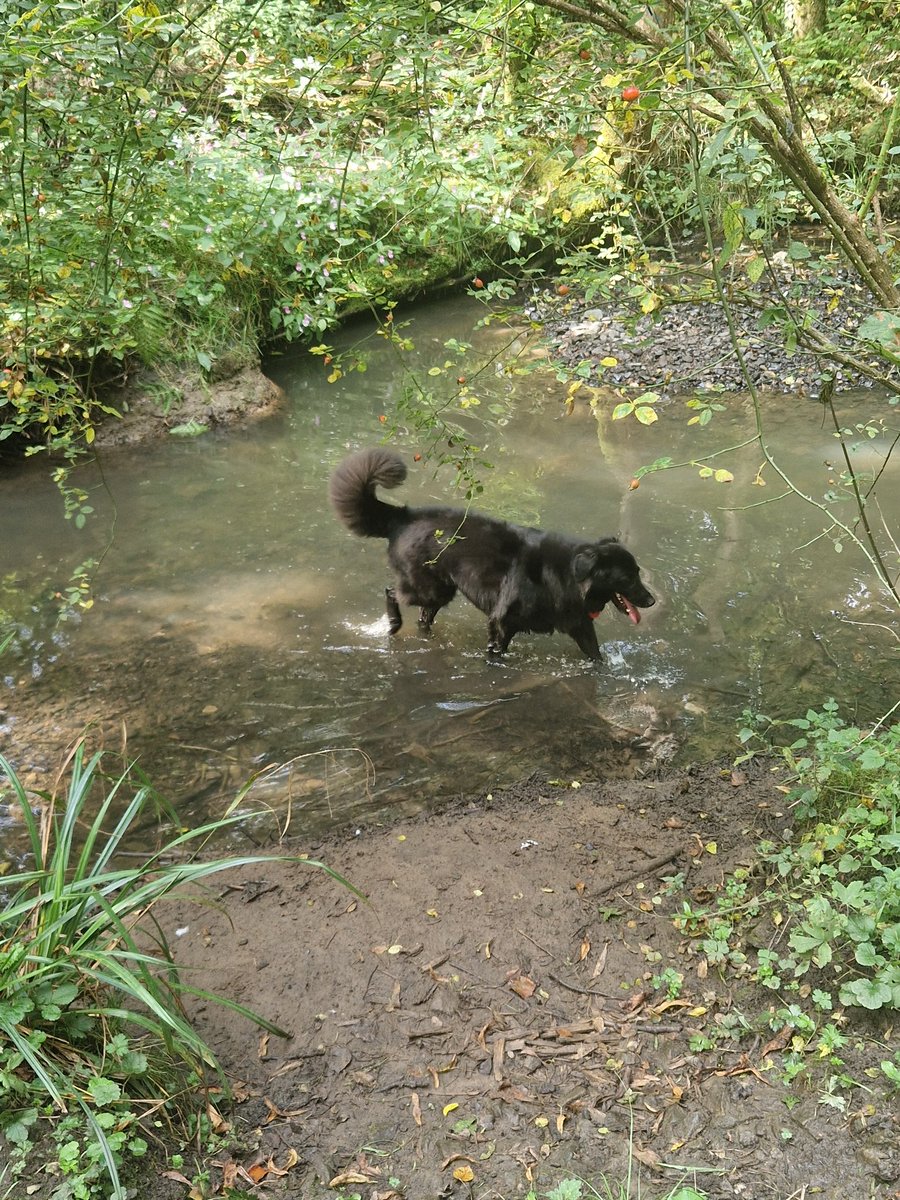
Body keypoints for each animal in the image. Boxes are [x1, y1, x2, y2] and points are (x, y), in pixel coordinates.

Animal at [331, 446, 657, 662]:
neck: (568, 575)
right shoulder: (501, 622)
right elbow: (497, 654)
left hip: (441, 592)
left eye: (637, 573)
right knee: (392, 592)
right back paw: (394, 624)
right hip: (428, 587)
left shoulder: (580, 626)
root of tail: (403, 515)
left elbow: (596, 658)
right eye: (627, 577)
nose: (651, 601)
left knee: (423, 616)